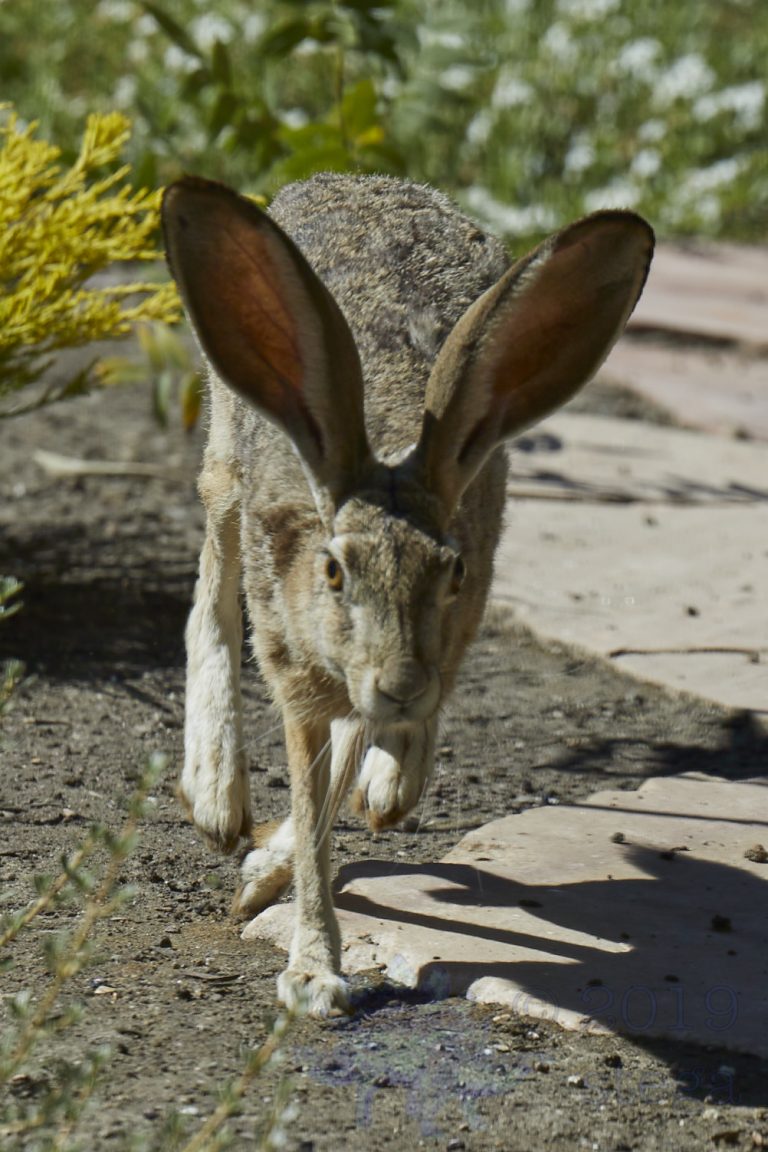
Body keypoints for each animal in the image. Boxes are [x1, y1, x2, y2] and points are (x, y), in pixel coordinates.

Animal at [161, 172, 653, 1017]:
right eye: (334, 571)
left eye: (451, 572)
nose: (401, 684)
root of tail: (360, 181)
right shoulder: (301, 668)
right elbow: (313, 808)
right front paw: (312, 975)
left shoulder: (439, 643)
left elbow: (347, 777)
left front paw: (385, 791)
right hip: (226, 463)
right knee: (210, 591)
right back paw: (218, 794)